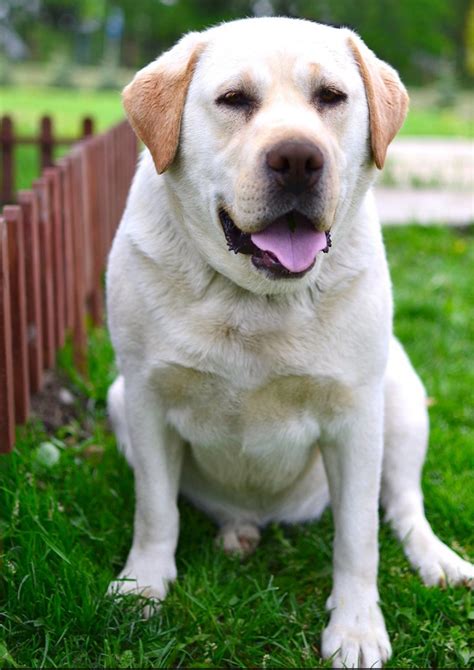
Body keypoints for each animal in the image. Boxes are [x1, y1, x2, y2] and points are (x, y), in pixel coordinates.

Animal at [105, 15, 472, 668]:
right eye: (234, 100)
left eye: (331, 97)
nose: (298, 157)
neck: (253, 299)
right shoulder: (145, 398)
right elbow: (156, 511)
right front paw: (143, 585)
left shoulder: (355, 418)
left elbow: (358, 536)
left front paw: (356, 628)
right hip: (116, 397)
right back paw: (237, 531)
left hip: (401, 395)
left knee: (403, 505)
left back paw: (438, 560)